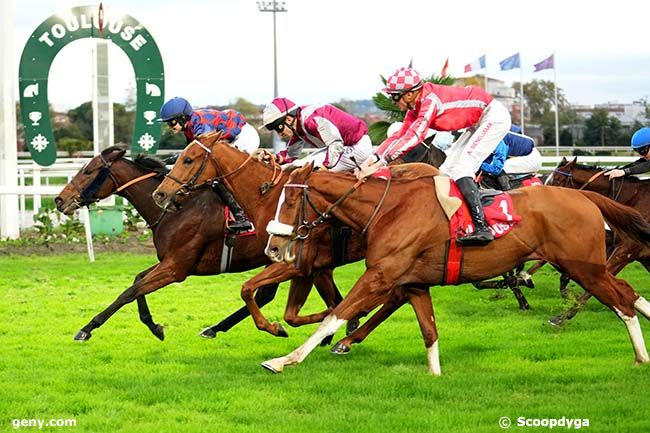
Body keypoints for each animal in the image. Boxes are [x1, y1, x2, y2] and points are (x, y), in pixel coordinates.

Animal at [54, 146, 344, 340]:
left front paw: (86, 329)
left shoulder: (176, 269)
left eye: (88, 171)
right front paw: (155, 326)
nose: (59, 199)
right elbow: (137, 281)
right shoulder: (170, 261)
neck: (175, 210)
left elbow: (128, 292)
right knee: (272, 295)